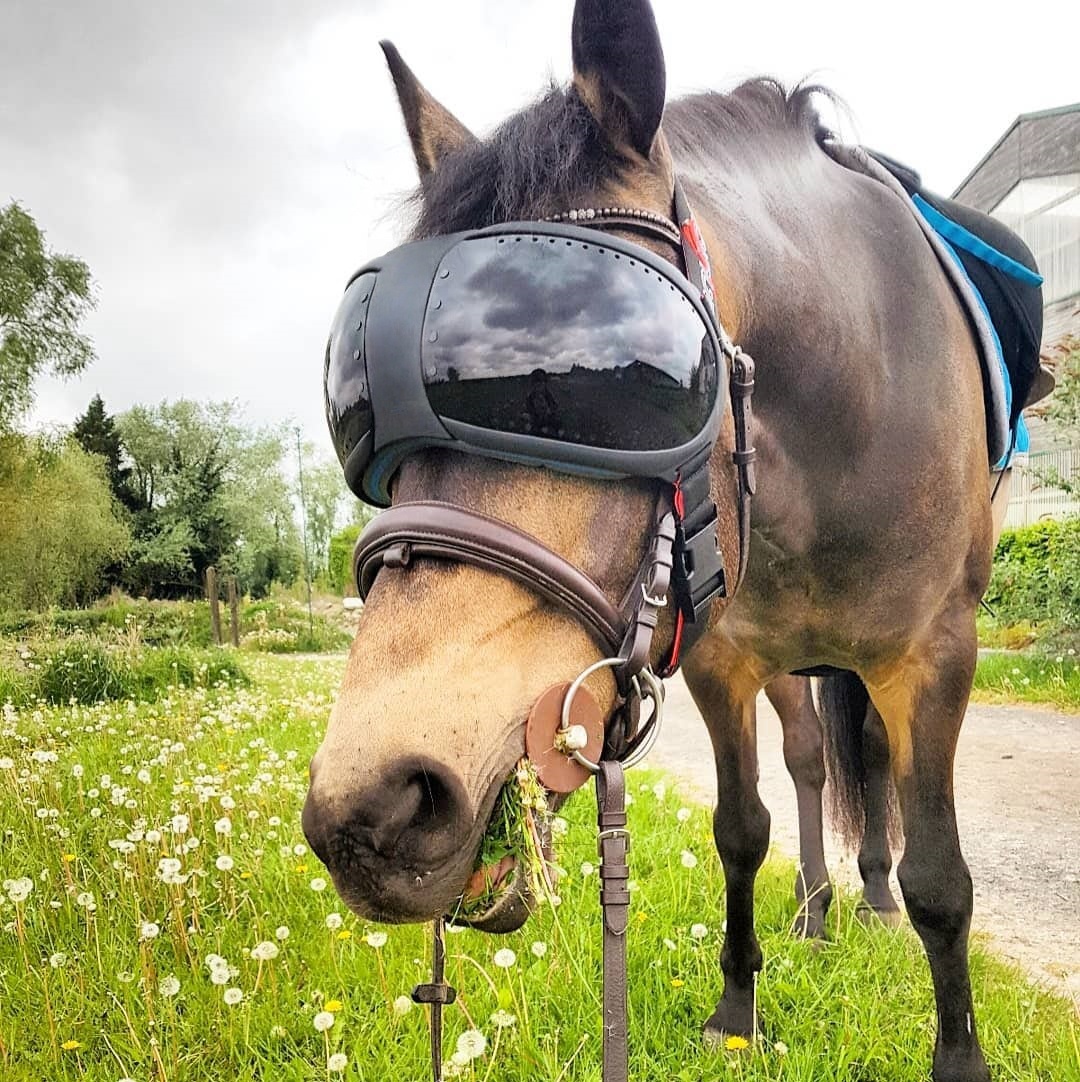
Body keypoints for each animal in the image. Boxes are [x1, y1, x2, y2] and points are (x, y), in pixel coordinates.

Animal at [303, 3, 1002, 1078]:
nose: (369, 808)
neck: (854, 384)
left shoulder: (934, 656)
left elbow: (941, 879)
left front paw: (953, 1045)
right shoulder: (720, 656)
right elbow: (740, 830)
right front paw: (738, 1009)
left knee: (870, 763)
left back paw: (869, 899)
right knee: (810, 759)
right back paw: (815, 910)